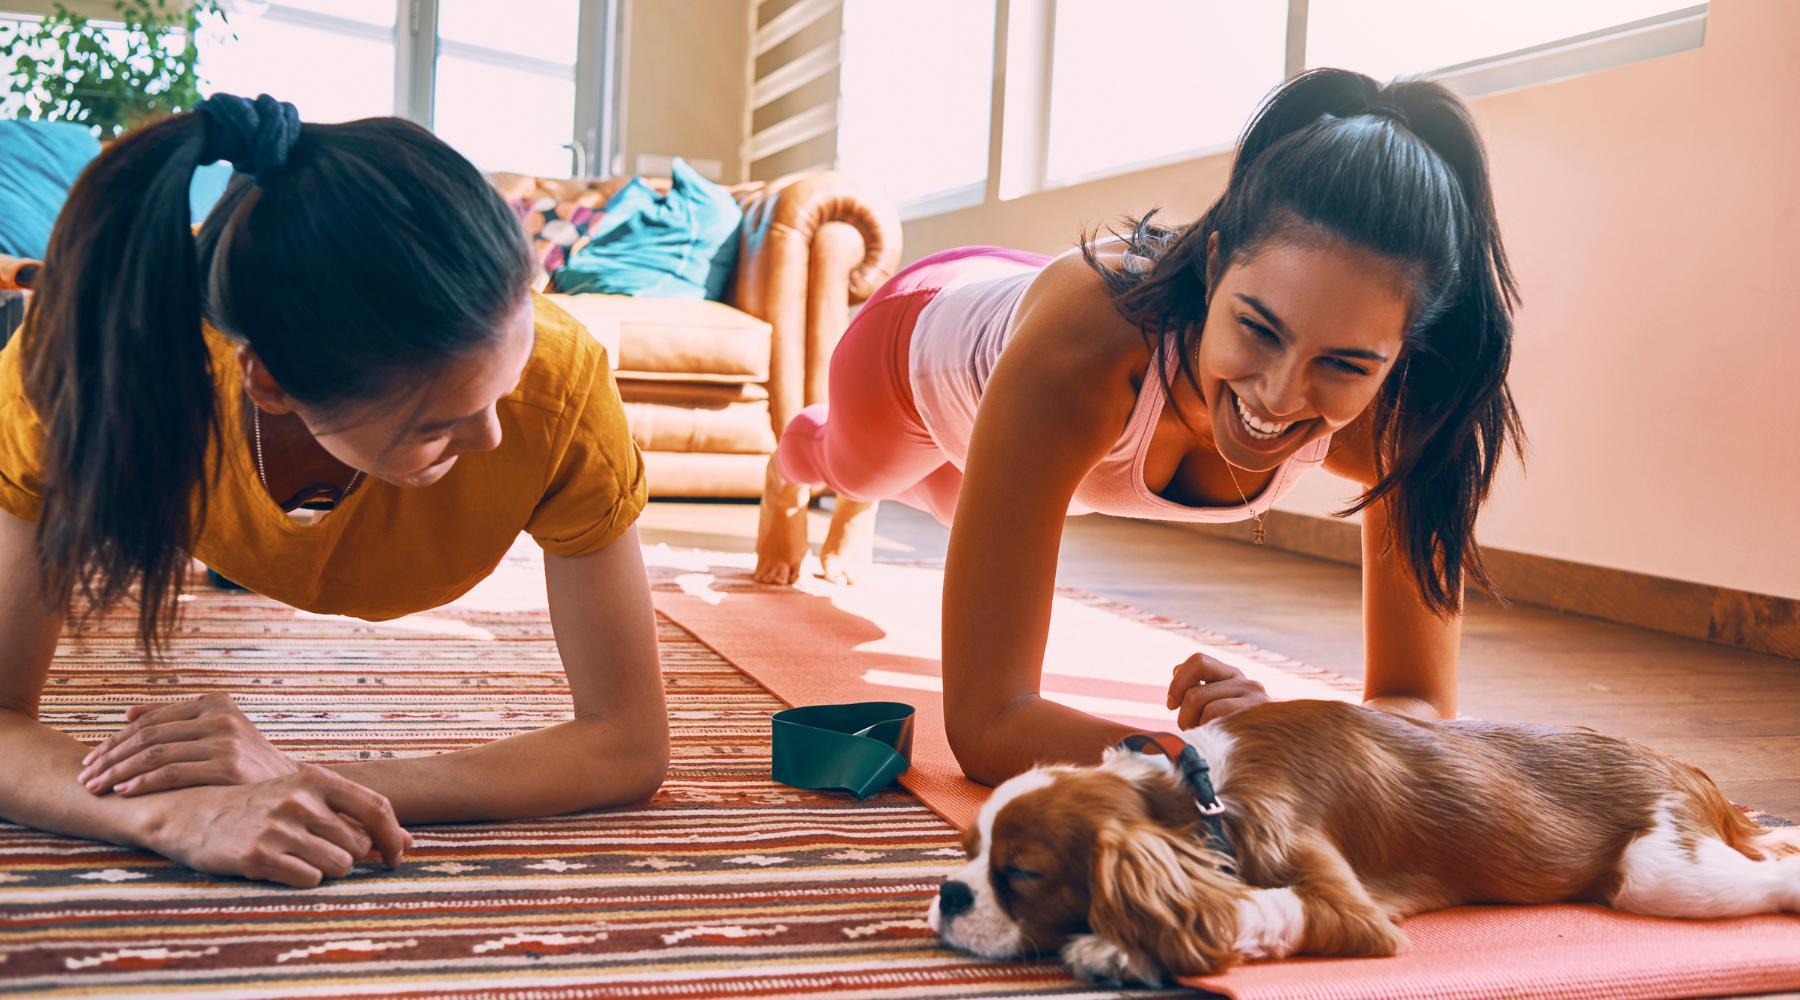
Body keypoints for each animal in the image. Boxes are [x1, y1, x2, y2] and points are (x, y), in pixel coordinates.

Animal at [928, 697, 1800, 985]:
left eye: (1021, 874)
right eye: (967, 851)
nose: (949, 892)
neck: (1205, 797)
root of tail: (1685, 767)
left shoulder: (1348, 911)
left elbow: (1252, 908)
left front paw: (1117, 946)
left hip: (1665, 872)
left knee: (1769, 870)